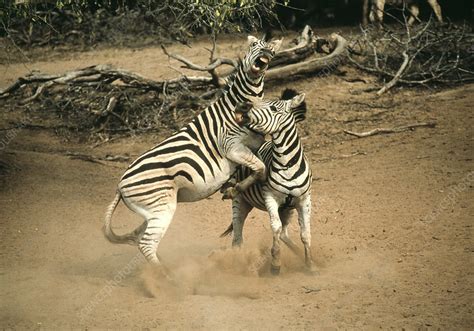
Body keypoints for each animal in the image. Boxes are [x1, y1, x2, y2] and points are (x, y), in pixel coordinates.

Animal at [103, 35, 282, 272]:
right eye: (254, 46)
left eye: (272, 50)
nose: (266, 54)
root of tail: (119, 185)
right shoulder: (231, 146)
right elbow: (260, 168)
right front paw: (235, 189)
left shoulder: (252, 146)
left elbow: (259, 167)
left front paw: (230, 186)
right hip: (162, 207)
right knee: (146, 243)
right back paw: (166, 275)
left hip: (153, 209)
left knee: (139, 237)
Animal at [220, 89, 312, 276]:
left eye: (273, 108)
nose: (242, 106)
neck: (287, 164)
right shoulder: (271, 197)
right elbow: (275, 228)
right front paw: (275, 265)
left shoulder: (304, 200)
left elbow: (305, 234)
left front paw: (310, 264)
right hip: (240, 202)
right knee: (237, 236)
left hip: (288, 209)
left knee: (284, 234)